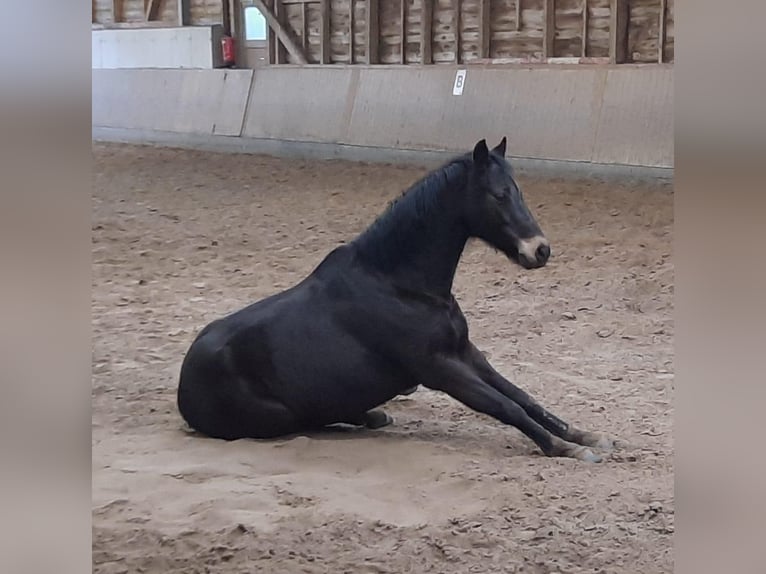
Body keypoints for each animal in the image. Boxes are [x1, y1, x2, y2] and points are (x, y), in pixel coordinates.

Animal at [178, 138, 616, 464]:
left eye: (517, 191)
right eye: (498, 194)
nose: (539, 250)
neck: (399, 285)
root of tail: (184, 387)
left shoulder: (466, 353)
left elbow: (522, 396)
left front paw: (586, 436)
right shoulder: (439, 369)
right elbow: (504, 406)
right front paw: (564, 448)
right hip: (281, 416)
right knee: (315, 421)